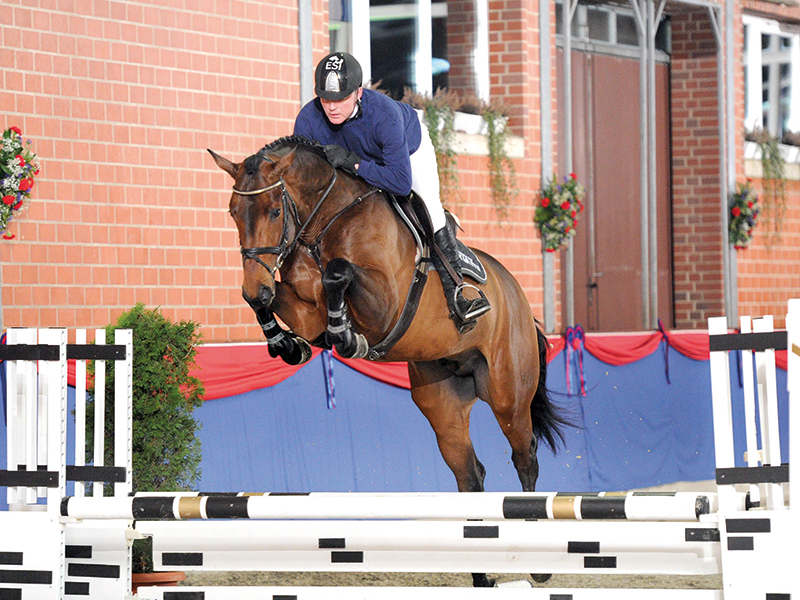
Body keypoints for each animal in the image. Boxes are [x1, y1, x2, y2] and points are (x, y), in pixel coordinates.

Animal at [209, 137, 570, 584]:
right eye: (232, 212)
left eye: (275, 211)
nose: (253, 285)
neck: (321, 224)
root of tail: (517, 294)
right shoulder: (304, 311)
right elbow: (283, 300)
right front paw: (287, 342)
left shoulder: (384, 304)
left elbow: (338, 272)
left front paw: (346, 336)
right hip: (443, 401)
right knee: (470, 474)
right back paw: (480, 574)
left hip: (508, 394)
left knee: (525, 457)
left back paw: (536, 563)